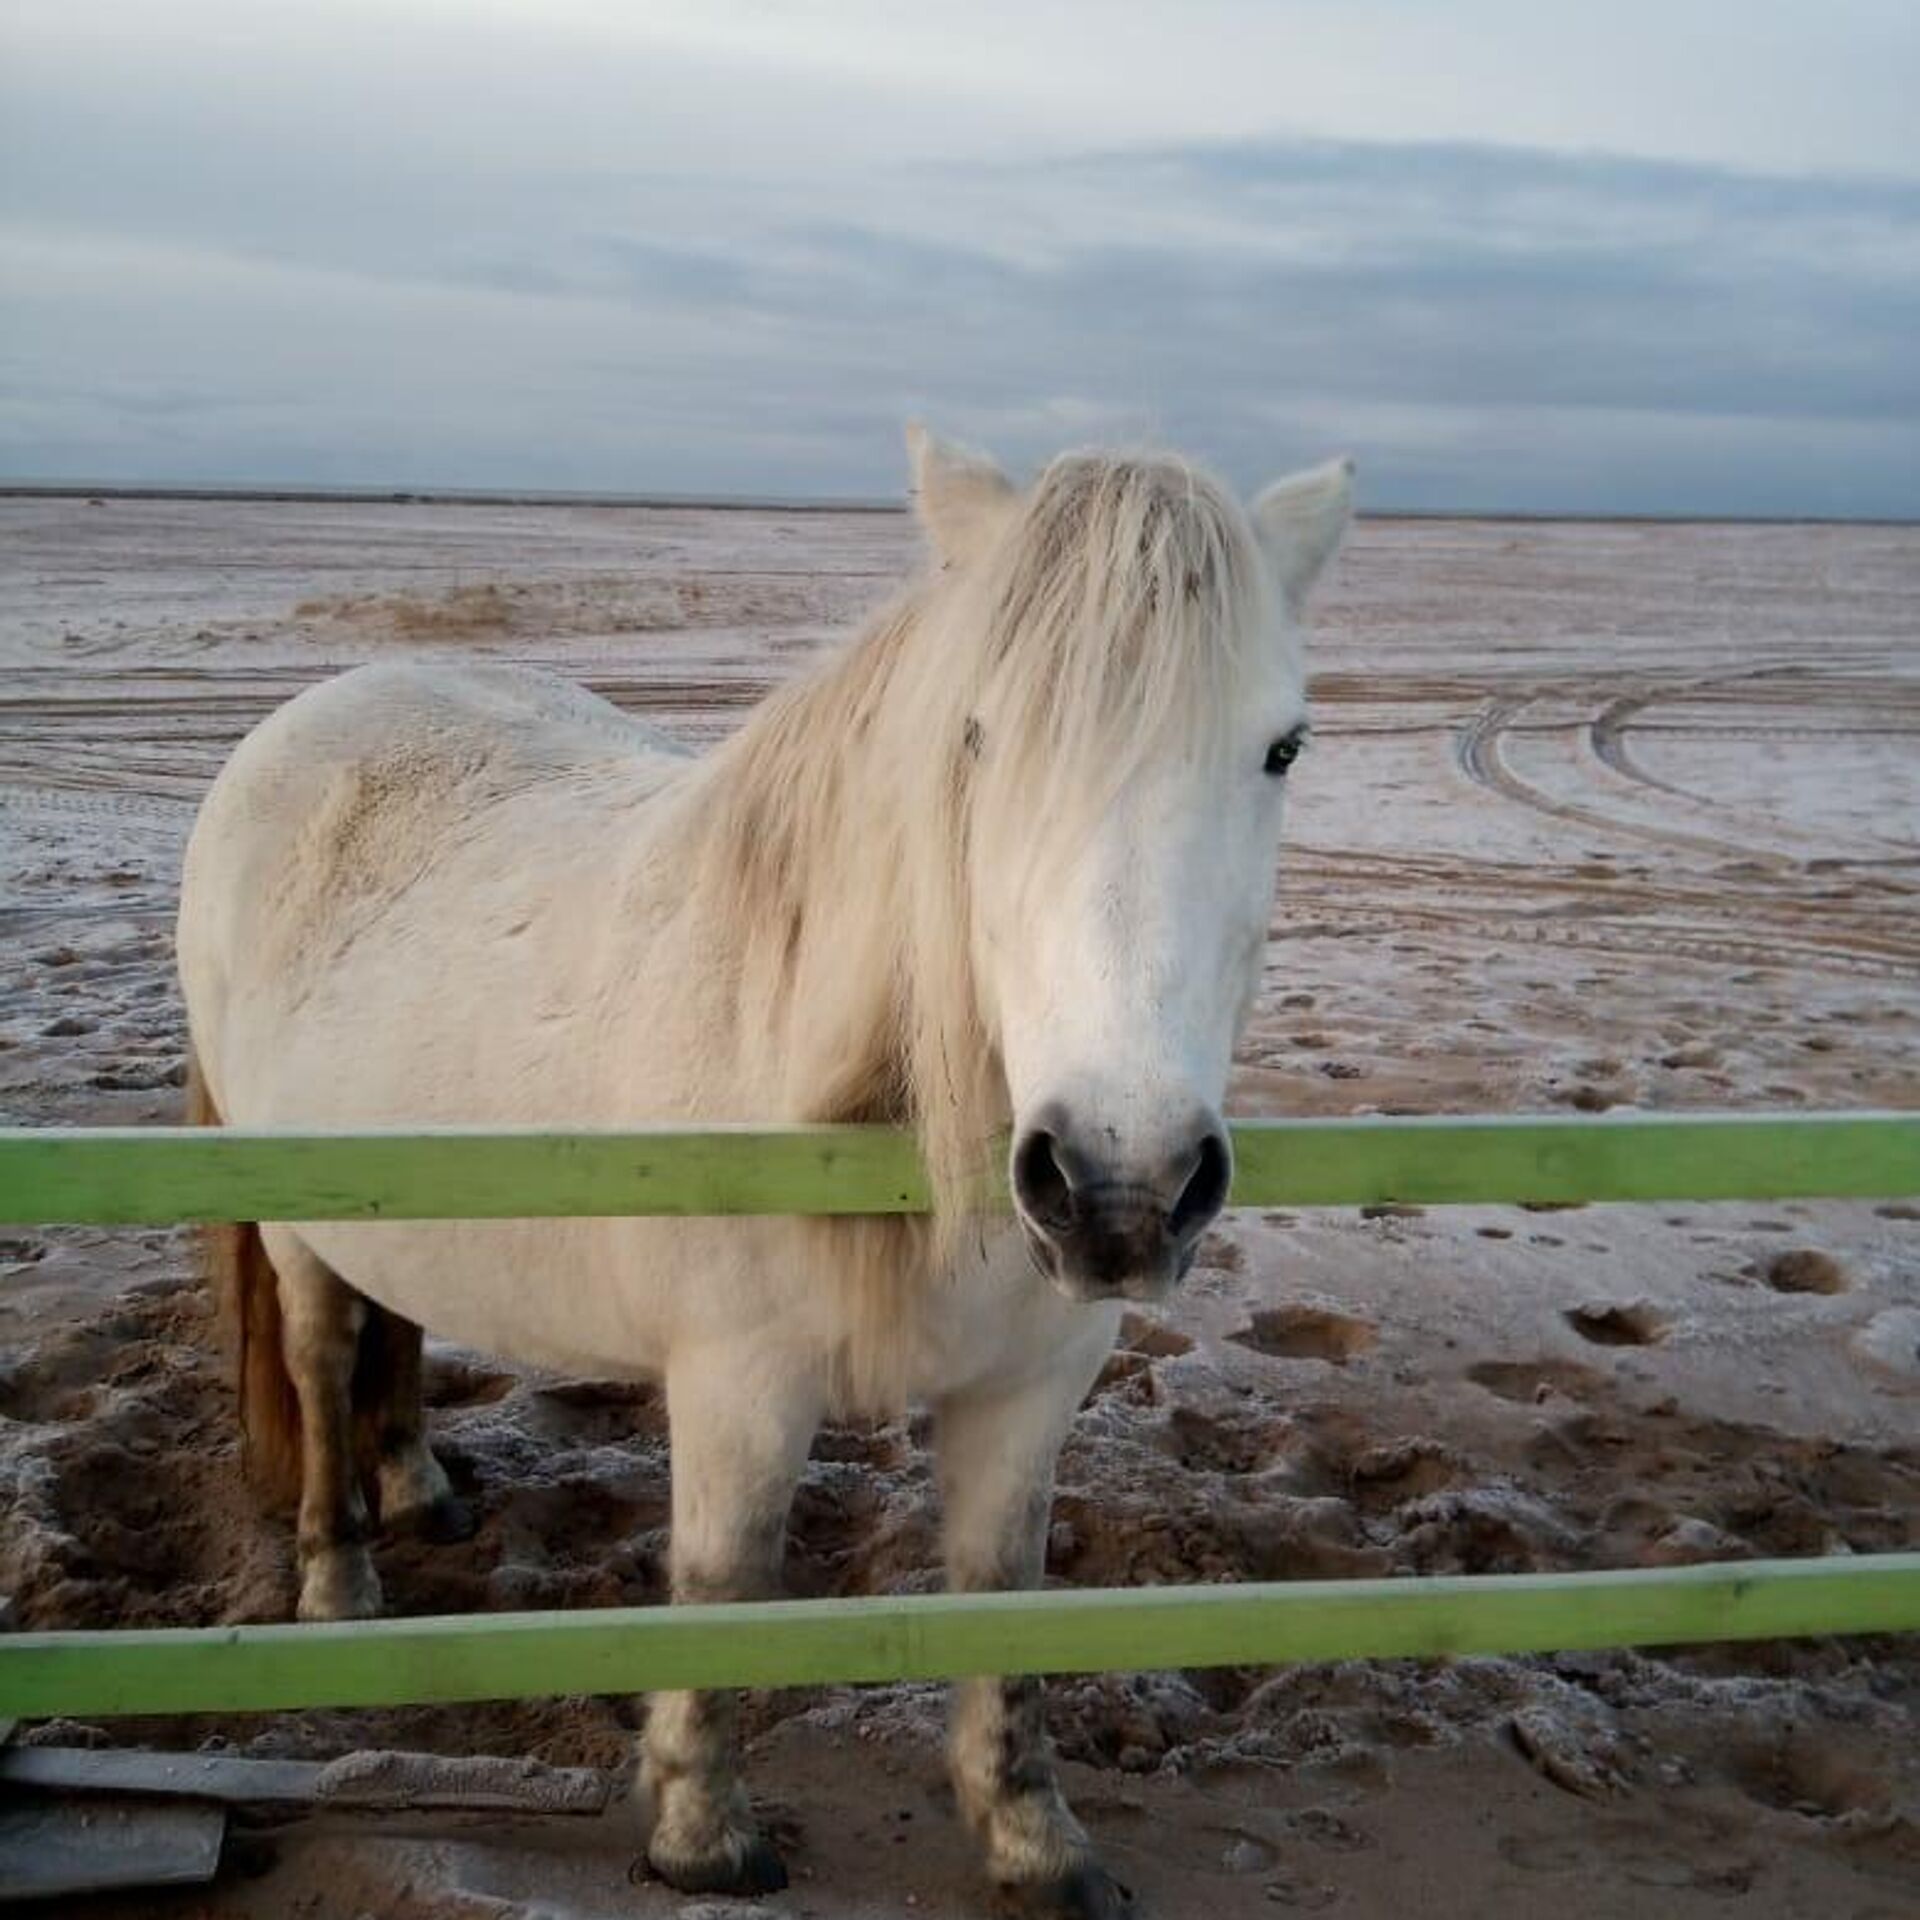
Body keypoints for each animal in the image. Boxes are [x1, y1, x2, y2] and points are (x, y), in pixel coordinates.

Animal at [176, 428, 1351, 1912]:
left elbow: (1004, 1590)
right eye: (977, 737)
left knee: (398, 1327)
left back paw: (420, 1489)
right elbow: (724, 1584)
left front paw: (1031, 1840)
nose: (1119, 1185)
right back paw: (339, 1581)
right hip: (294, 1216)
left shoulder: (1033, 1385)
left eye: (1282, 748)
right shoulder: (738, 1385)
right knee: (326, 1356)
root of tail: (306, 718)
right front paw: (701, 1831)